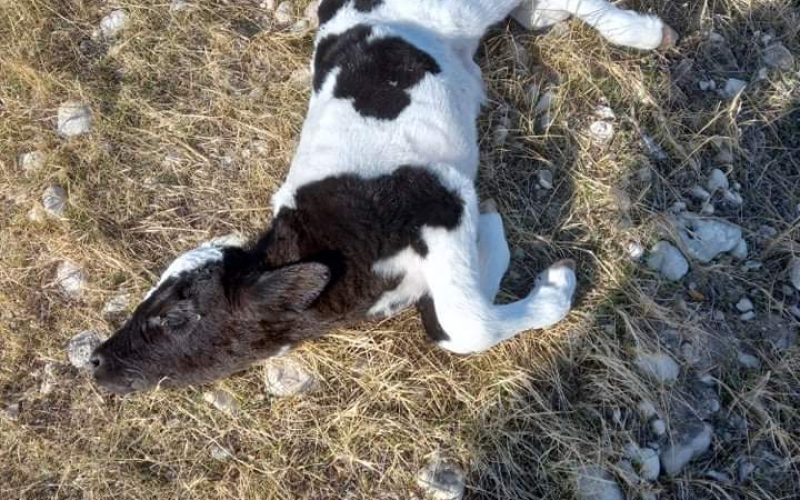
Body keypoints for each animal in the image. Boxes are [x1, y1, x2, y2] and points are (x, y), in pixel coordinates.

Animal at [89, 0, 676, 394]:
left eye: (175, 317)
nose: (93, 360)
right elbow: (448, 321)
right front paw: (493, 248)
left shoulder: (442, 202)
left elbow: (468, 323)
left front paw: (549, 281)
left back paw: (645, 32)